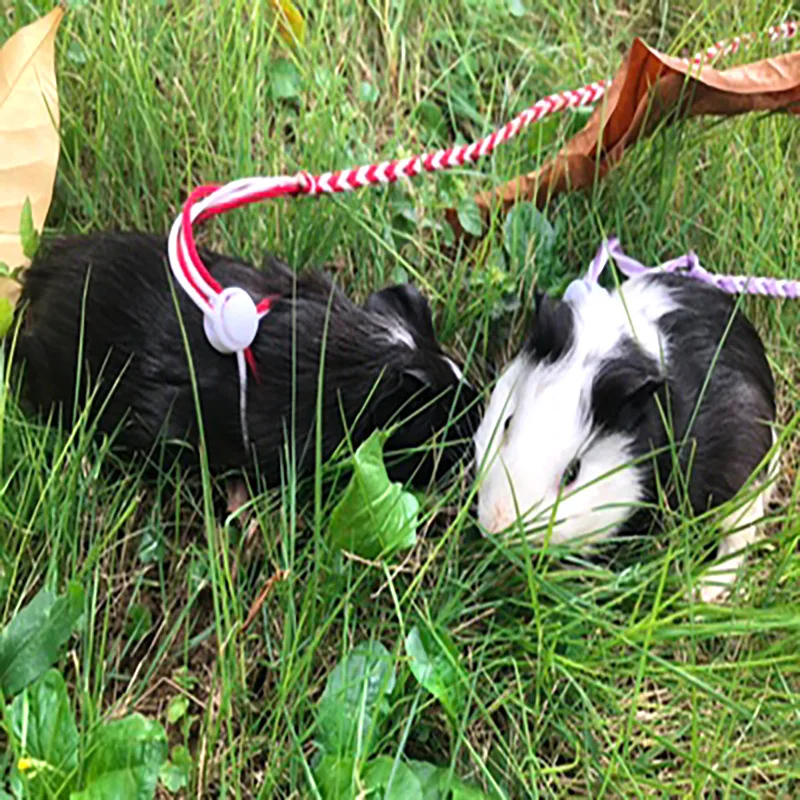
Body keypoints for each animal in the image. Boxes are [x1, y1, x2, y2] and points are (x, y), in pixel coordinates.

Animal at [473, 270, 779, 602]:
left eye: (572, 472)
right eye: (507, 423)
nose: (496, 527)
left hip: (741, 492)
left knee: (737, 543)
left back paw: (701, 590)